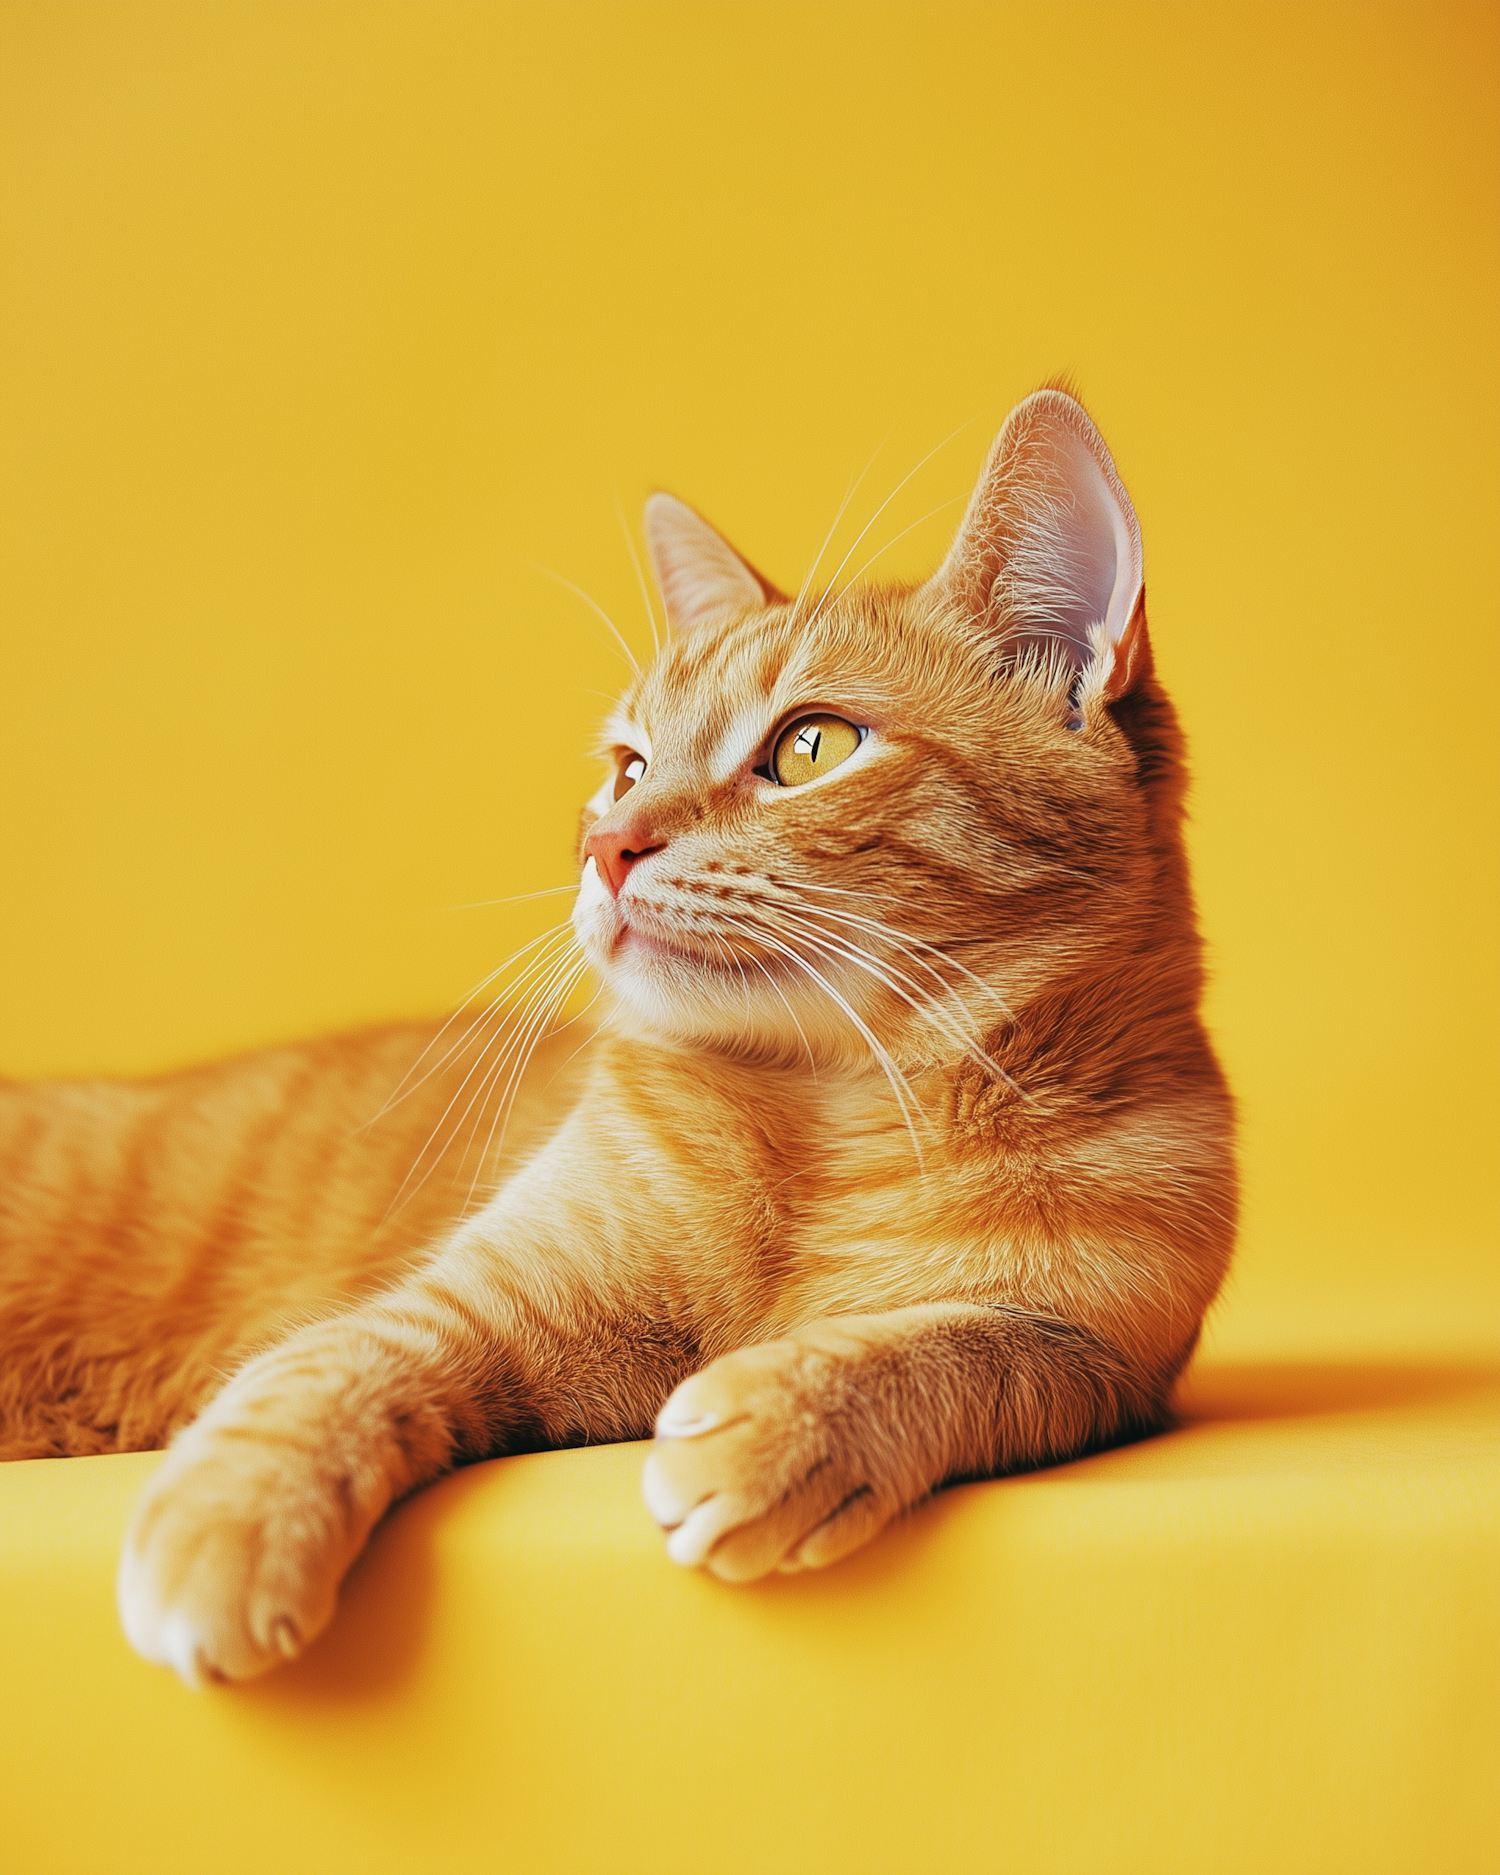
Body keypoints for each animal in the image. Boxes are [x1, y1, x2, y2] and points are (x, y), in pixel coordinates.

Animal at [0, 384, 1237, 1687]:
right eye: (626, 766)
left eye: (811, 747)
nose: (606, 843)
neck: (829, 1121)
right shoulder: (474, 1302)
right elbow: (327, 1368)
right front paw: (232, 1520)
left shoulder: (1103, 1362)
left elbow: (963, 1347)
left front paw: (785, 1418)